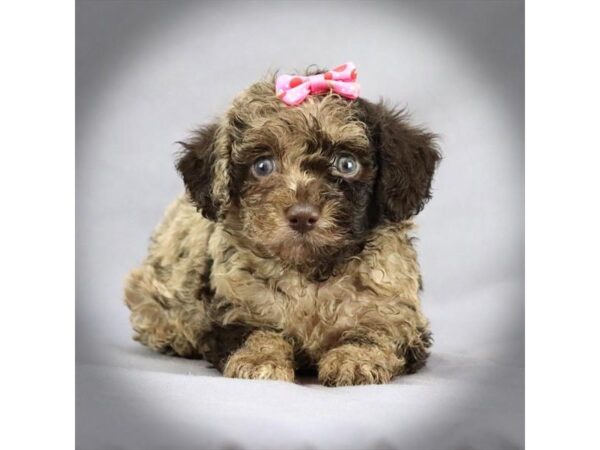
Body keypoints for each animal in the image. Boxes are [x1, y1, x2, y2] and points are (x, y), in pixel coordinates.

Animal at [123, 67, 440, 386]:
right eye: (263, 166)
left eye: (347, 164)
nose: (302, 216)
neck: (311, 273)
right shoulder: (233, 310)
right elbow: (257, 334)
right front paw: (259, 360)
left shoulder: (397, 313)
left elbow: (378, 332)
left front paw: (355, 360)